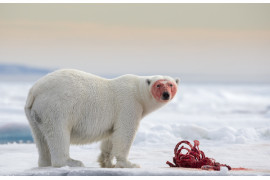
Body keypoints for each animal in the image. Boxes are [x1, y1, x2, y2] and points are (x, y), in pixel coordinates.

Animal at [24, 69, 178, 169]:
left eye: (171, 84)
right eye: (158, 84)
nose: (166, 94)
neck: (138, 92)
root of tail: (34, 91)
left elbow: (111, 137)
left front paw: (107, 162)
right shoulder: (129, 105)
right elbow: (124, 133)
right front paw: (130, 164)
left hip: (35, 113)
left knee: (40, 137)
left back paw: (44, 163)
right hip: (57, 107)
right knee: (58, 133)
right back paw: (72, 162)